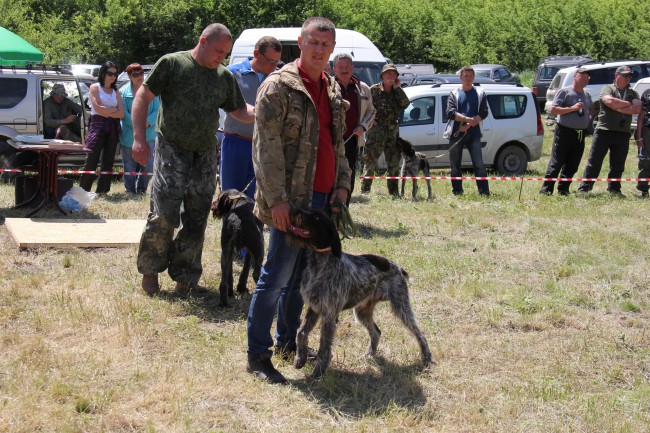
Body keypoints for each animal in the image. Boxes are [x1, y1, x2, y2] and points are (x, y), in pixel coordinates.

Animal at [286, 207, 434, 379]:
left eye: (316, 218)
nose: (294, 210)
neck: (319, 263)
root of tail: (397, 267)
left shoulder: (329, 315)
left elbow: (324, 348)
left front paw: (318, 373)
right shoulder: (314, 308)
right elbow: (301, 332)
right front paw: (300, 358)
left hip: (401, 306)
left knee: (419, 332)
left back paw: (427, 358)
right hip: (362, 311)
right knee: (376, 332)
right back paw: (369, 355)